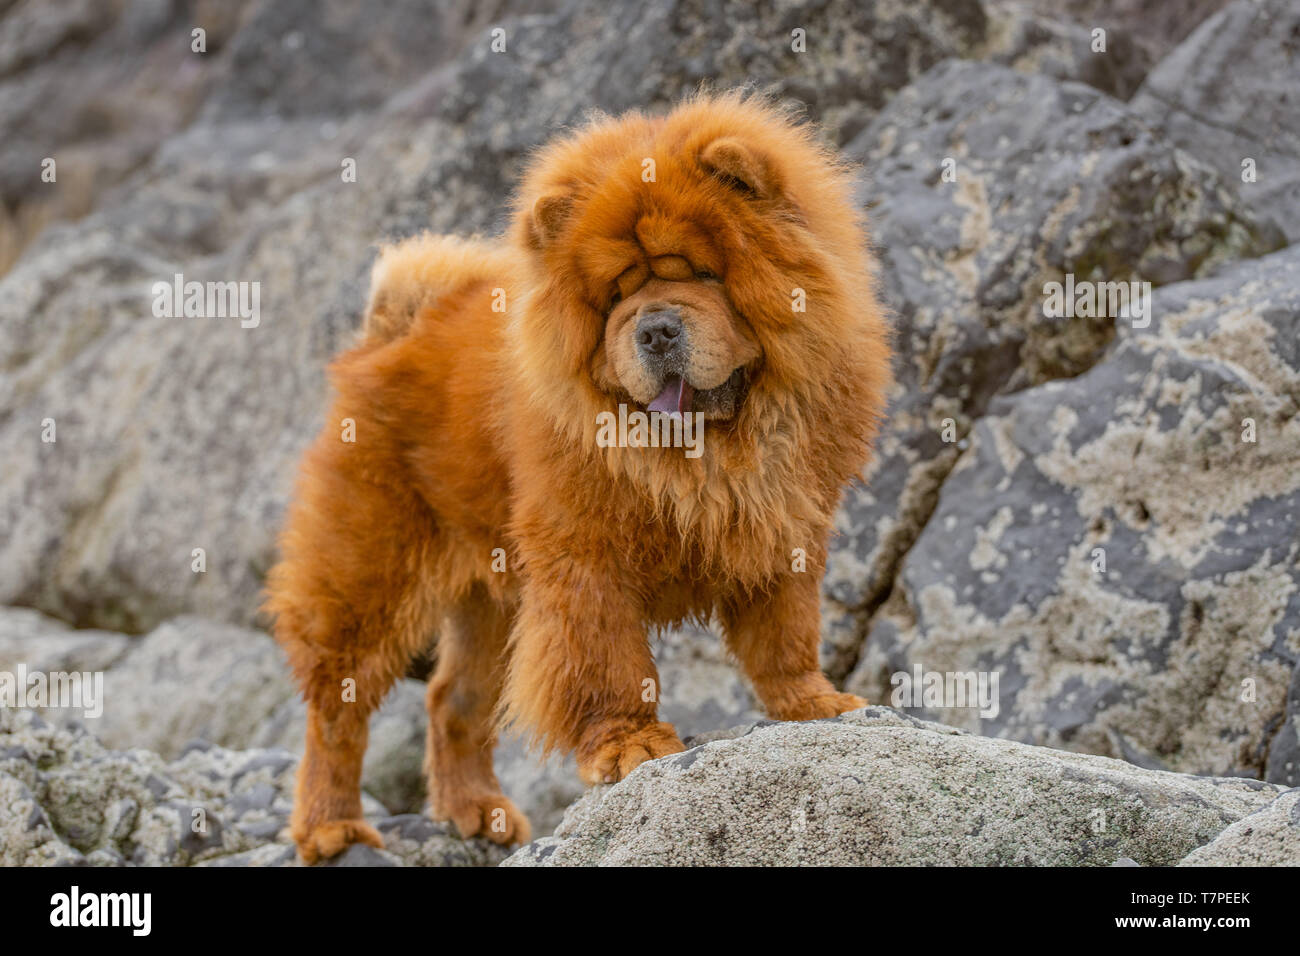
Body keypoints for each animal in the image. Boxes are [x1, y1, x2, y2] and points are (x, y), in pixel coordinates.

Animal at [263, 93, 894, 863]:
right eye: (618, 293)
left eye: (702, 274)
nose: (655, 328)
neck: (704, 451)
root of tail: (393, 330)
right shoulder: (585, 557)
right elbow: (610, 664)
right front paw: (631, 748)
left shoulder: (786, 524)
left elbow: (786, 634)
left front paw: (813, 705)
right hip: (367, 570)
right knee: (336, 706)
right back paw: (330, 827)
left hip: (492, 600)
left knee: (452, 701)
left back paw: (476, 812)